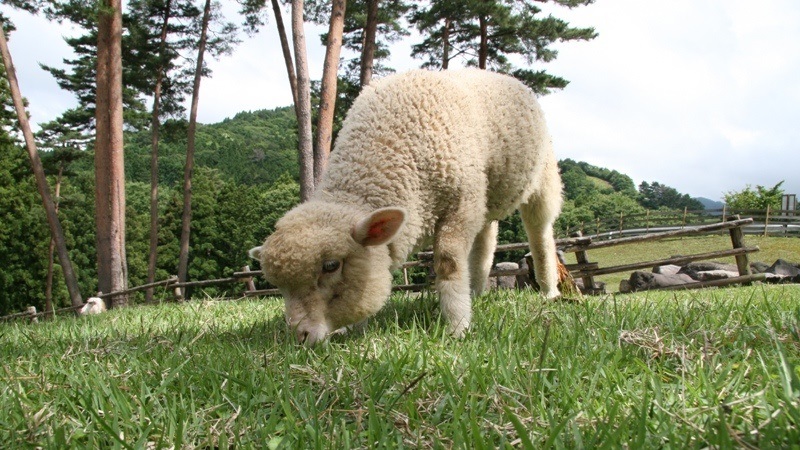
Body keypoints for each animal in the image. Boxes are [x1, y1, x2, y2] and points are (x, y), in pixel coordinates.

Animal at [250, 67, 564, 344]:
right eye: (278, 285)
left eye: (331, 266)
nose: (300, 337)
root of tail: (507, 78)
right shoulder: (469, 202)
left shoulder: (461, 202)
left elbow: (449, 263)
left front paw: (458, 327)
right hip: (485, 196)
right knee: (486, 241)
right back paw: (476, 292)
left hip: (542, 175)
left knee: (540, 234)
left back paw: (549, 291)